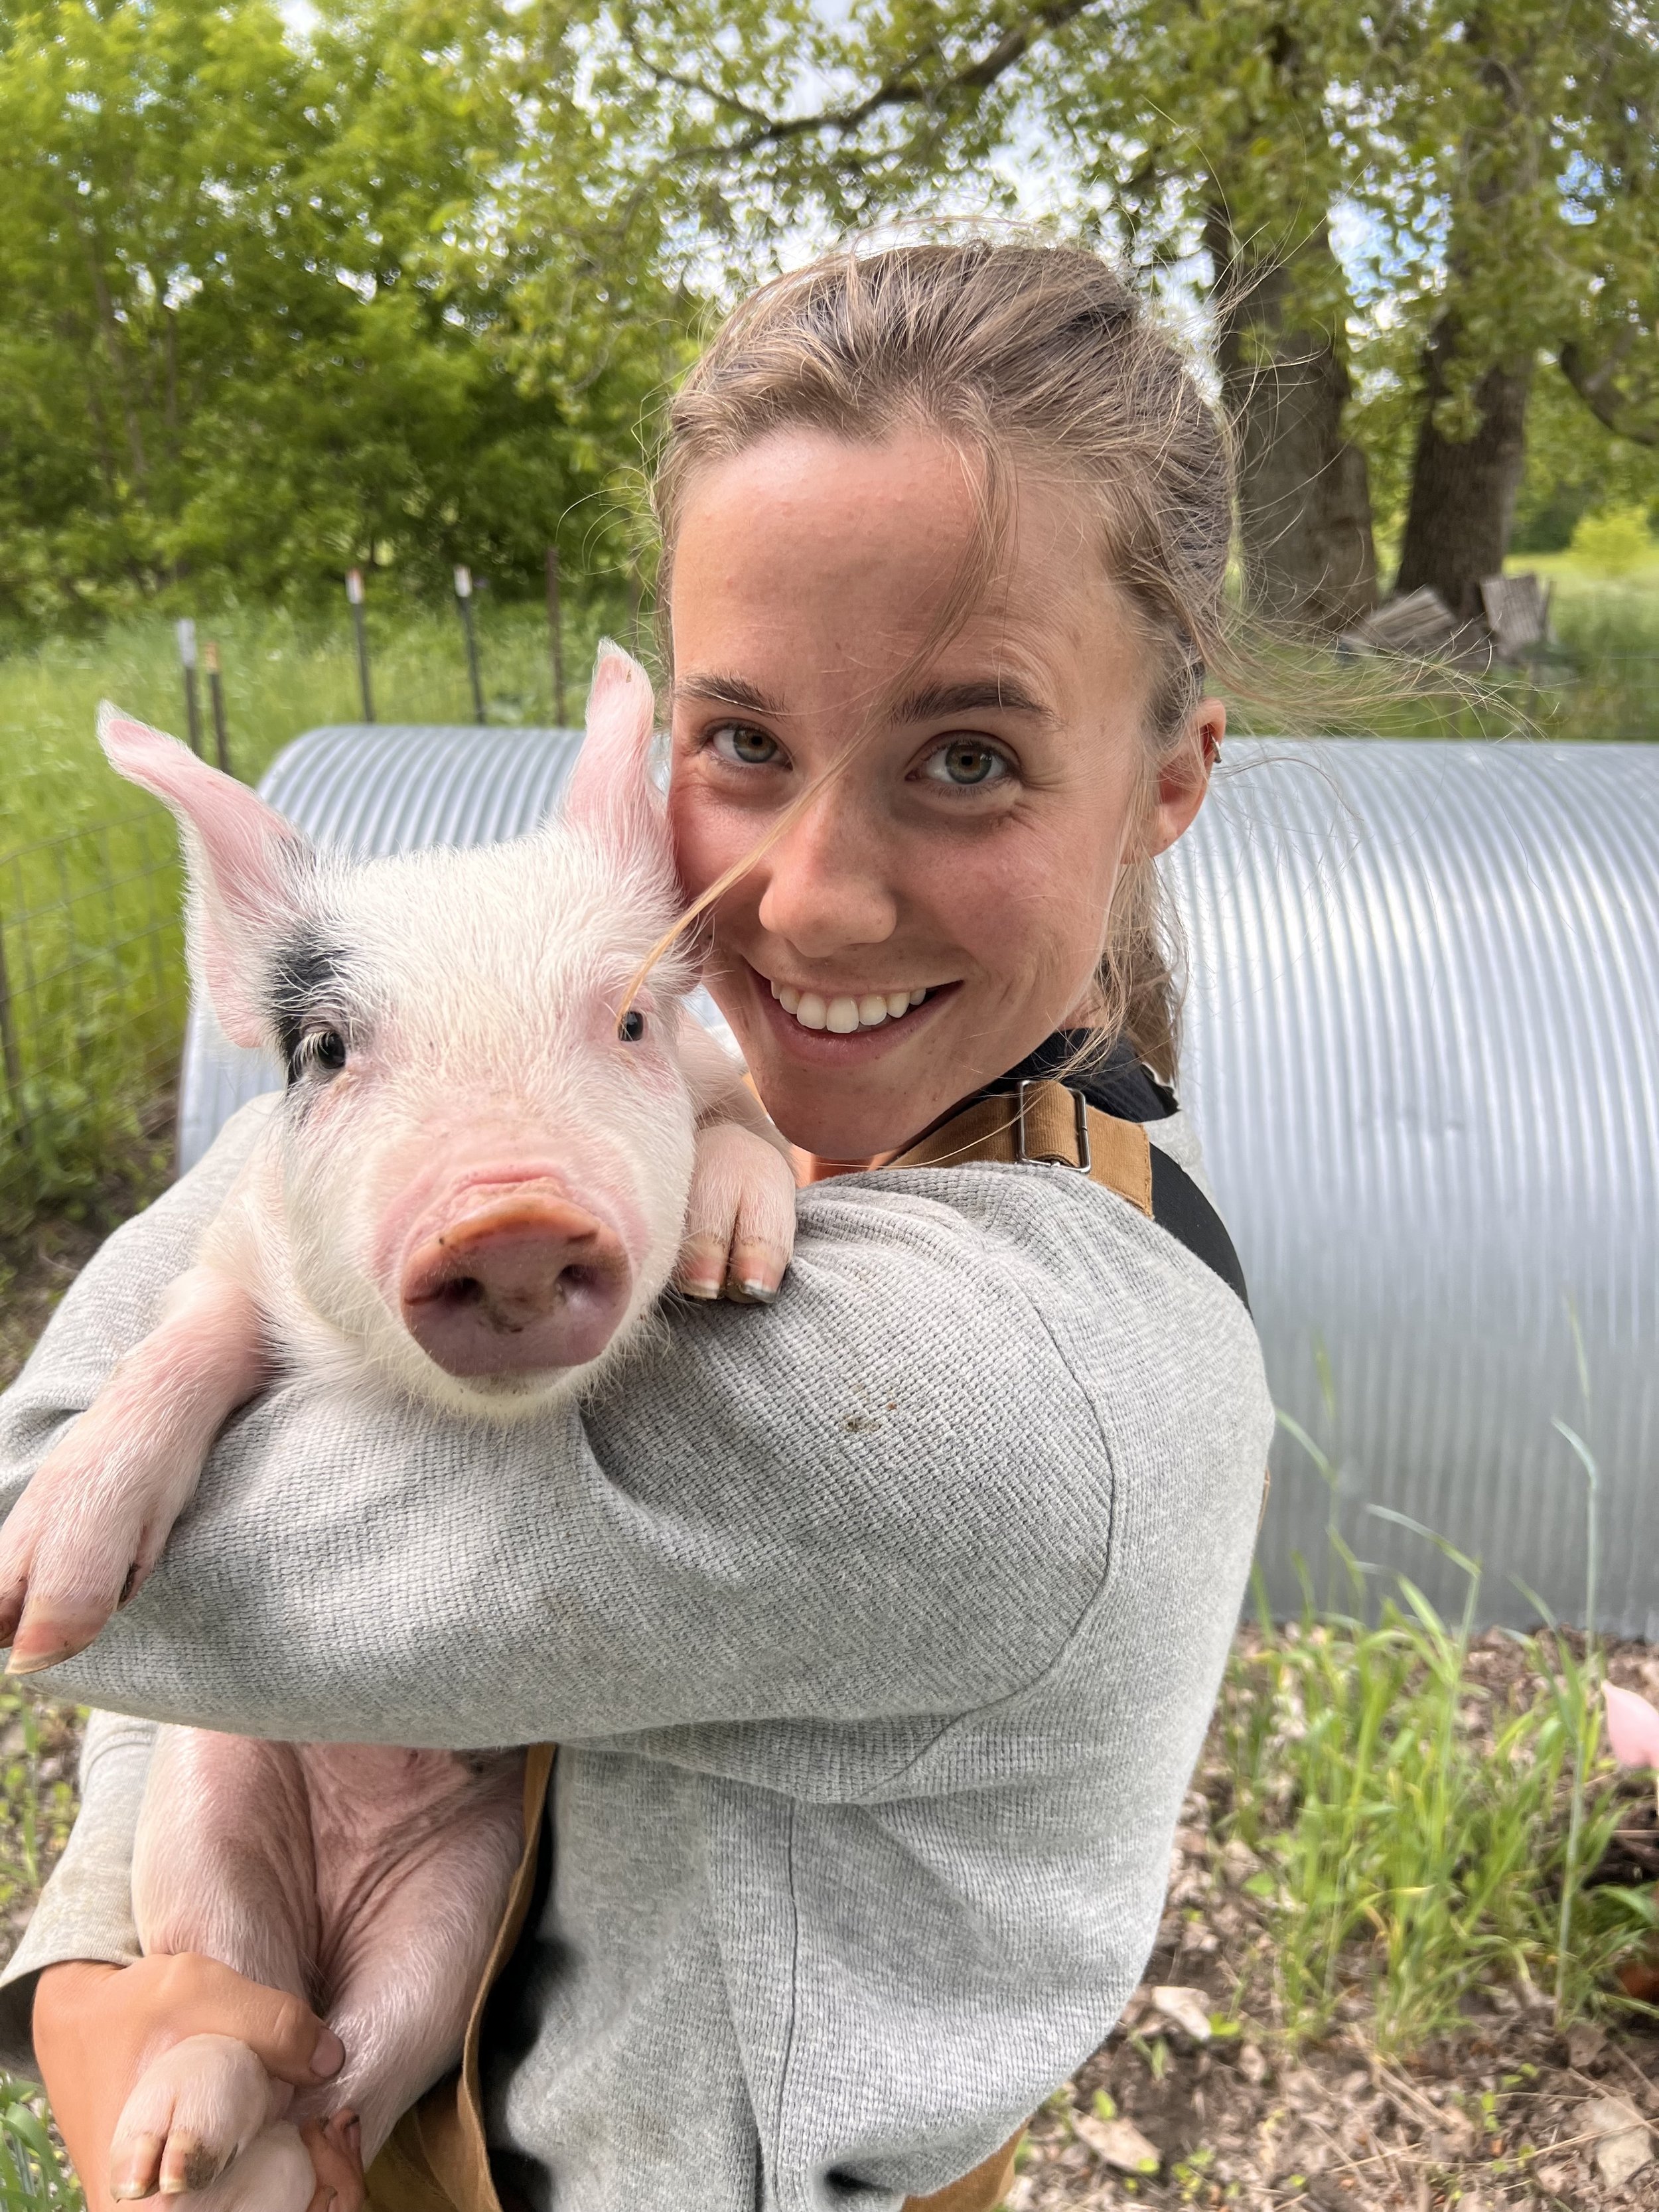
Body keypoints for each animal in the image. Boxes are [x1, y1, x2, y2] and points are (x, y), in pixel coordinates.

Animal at [0, 649, 796, 2212]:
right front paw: (35, 1612)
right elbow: (190, 1334)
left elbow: (749, 1132)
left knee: (353, 2078)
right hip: (209, 1803)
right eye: (321, 1046)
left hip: (462, 1899)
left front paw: (735, 1256)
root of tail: (339, 1900)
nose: (509, 1214)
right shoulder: (238, 1246)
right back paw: (175, 2150)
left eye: (626, 1020)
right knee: (242, 2018)